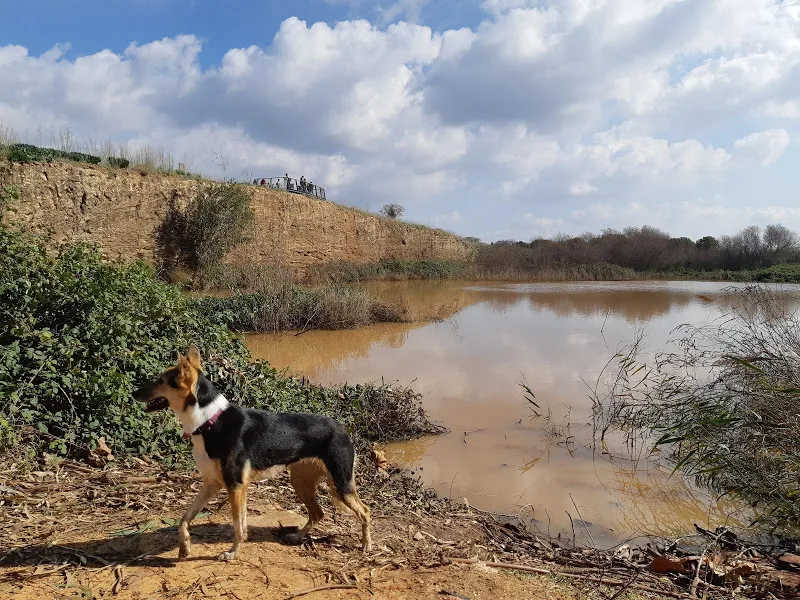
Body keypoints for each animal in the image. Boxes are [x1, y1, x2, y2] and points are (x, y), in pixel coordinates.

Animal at [134, 344, 372, 560]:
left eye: (160, 380)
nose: (134, 393)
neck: (209, 421)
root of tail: (341, 427)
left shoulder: (236, 486)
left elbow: (238, 526)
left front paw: (232, 553)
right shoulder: (212, 484)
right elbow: (185, 518)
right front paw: (185, 547)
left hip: (341, 484)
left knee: (365, 511)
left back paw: (366, 546)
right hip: (301, 482)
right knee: (317, 513)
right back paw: (297, 537)